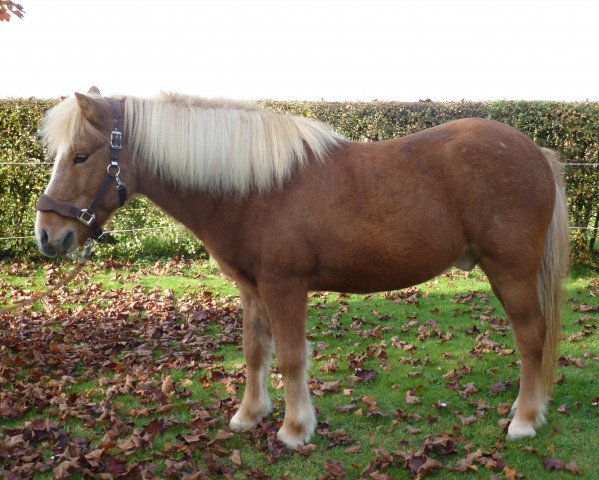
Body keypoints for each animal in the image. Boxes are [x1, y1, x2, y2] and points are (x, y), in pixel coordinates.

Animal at [35, 87, 568, 450]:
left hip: (511, 272)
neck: (254, 187)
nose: (47, 235)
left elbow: (291, 356)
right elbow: (255, 351)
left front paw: (294, 429)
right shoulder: (252, 290)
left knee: (531, 339)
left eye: (81, 156)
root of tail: (537, 153)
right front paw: (249, 415)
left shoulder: (284, 286)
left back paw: (524, 420)